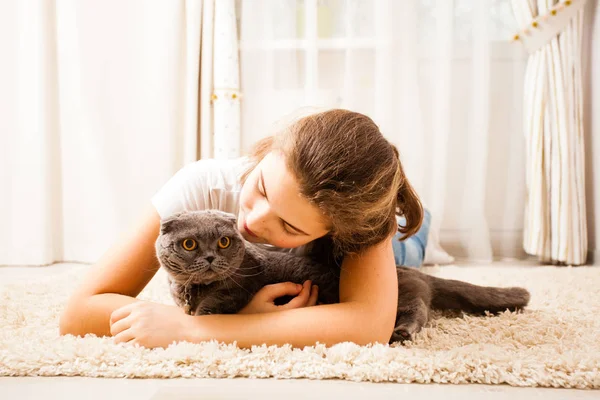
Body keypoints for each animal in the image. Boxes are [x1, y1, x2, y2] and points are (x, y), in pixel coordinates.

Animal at [155, 209, 528, 344]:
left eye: (223, 242)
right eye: (189, 244)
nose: (209, 257)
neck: (189, 288)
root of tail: (406, 271)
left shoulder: (241, 286)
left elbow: (216, 302)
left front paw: (199, 314)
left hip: (402, 300)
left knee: (418, 312)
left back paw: (402, 333)